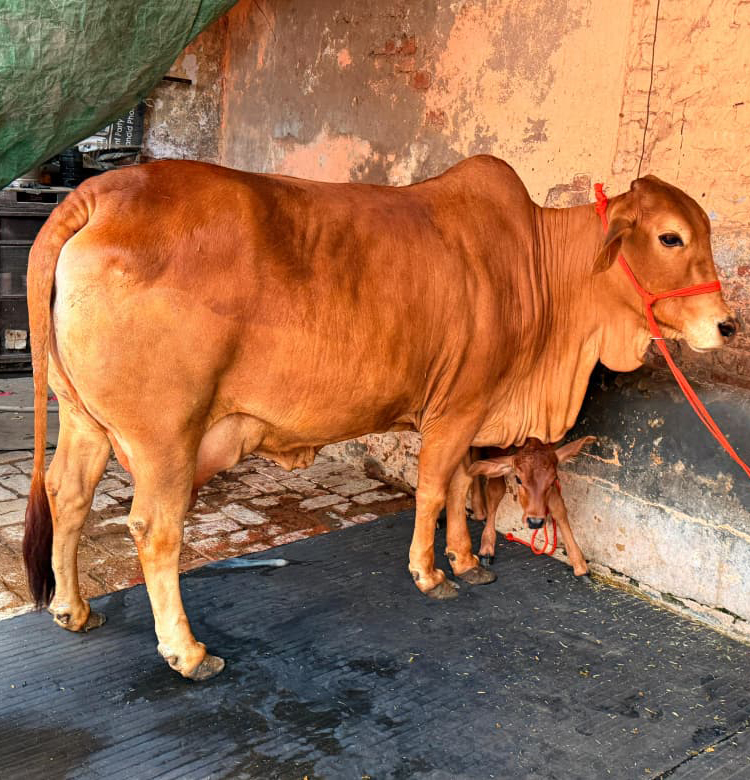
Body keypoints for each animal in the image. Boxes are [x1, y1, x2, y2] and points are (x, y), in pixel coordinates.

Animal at [469, 436, 595, 575]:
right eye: (518, 479)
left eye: (552, 481)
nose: (535, 522)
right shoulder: (497, 446)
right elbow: (495, 489)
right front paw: (487, 546)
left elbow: (558, 506)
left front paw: (578, 562)